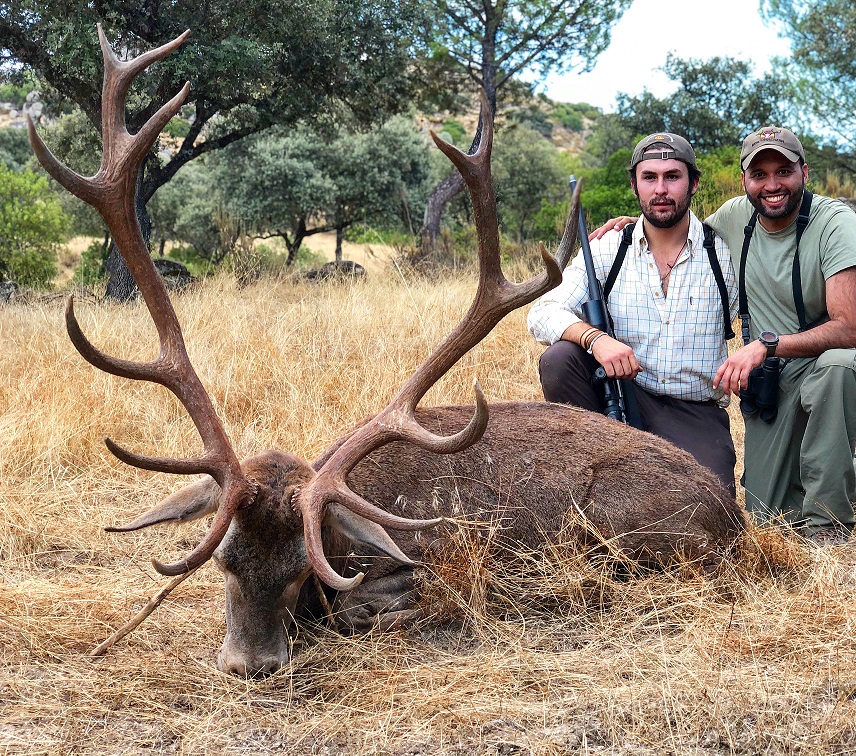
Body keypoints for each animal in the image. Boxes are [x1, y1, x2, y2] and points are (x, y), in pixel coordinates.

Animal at [28, 26, 747, 678]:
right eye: (224, 559)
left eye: (302, 569)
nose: (250, 664)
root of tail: (735, 517)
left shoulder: (424, 563)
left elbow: (362, 609)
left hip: (625, 527)